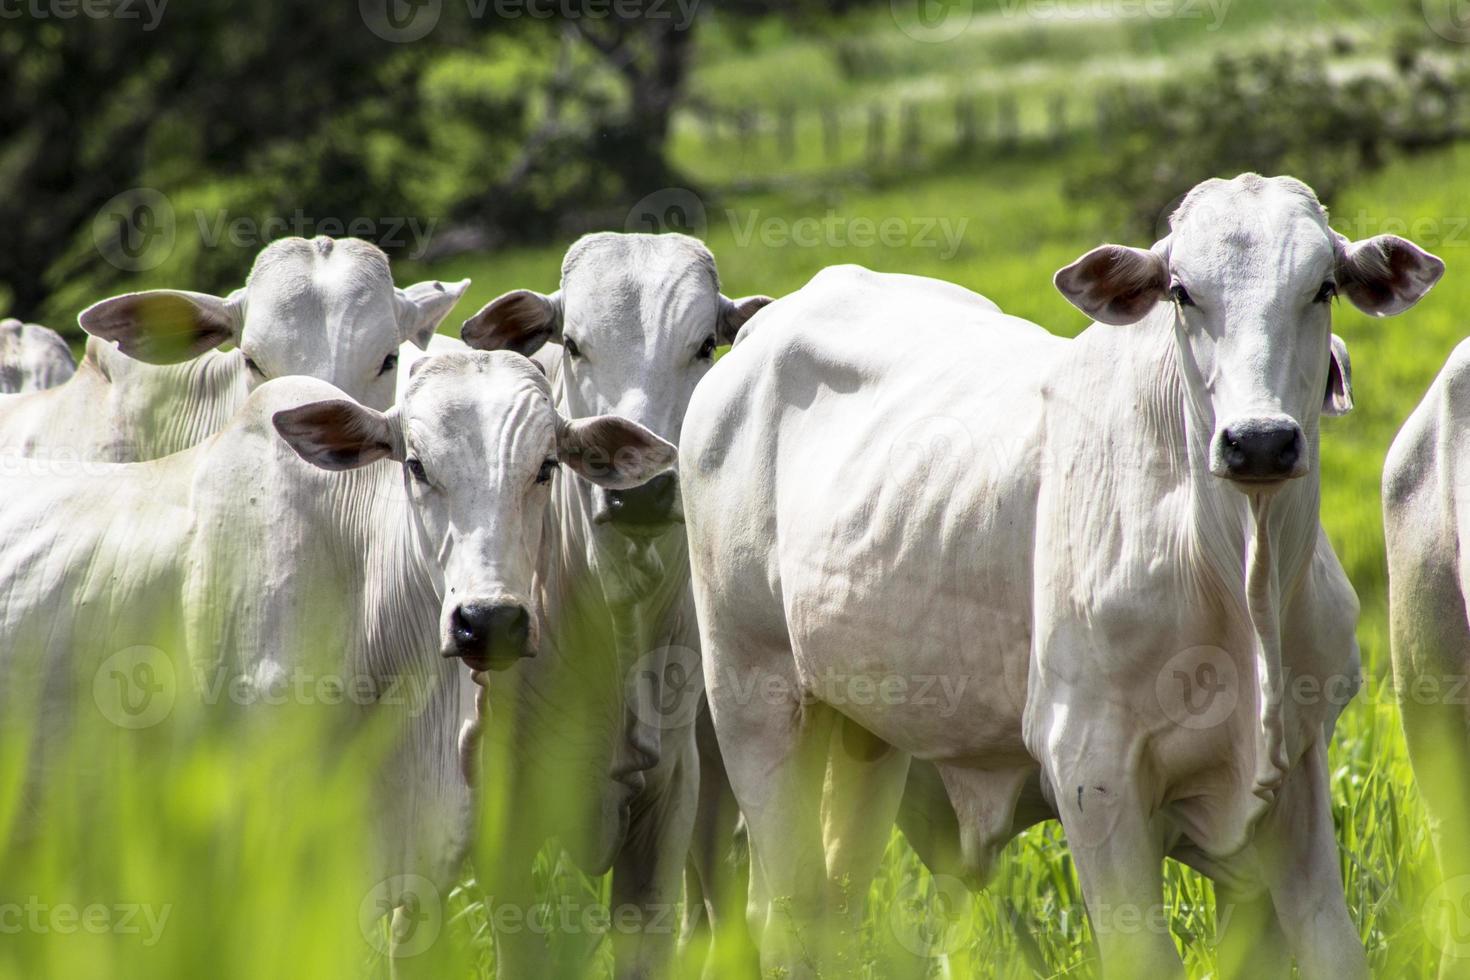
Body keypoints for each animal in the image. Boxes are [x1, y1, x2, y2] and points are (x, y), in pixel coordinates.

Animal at [682, 178, 1440, 980]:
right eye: (1181, 292)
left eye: (1323, 286)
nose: (1259, 441)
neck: (1241, 573)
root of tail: (764, 330)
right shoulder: (1091, 770)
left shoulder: (1296, 766)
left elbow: (1332, 943)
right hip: (754, 698)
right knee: (787, 909)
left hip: (863, 729)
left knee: (831, 902)